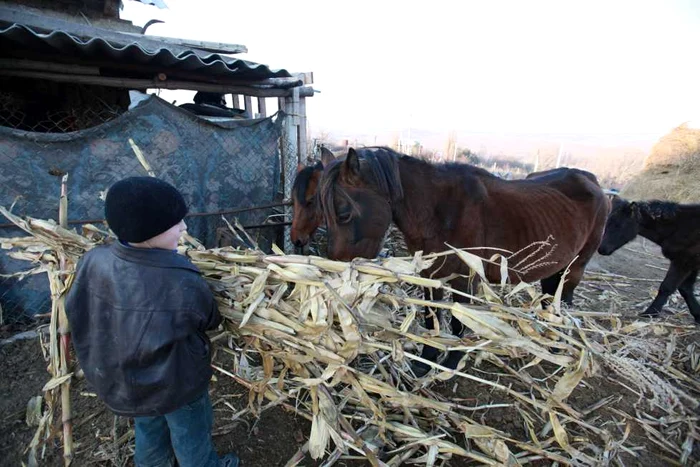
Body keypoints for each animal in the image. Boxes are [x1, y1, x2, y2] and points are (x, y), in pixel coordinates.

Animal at [320, 148, 608, 374]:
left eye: (344, 213)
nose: (336, 272)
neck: (441, 212)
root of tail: (592, 181)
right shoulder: (429, 275)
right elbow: (431, 316)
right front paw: (426, 361)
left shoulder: (465, 280)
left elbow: (460, 322)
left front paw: (452, 362)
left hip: (575, 267)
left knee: (564, 299)